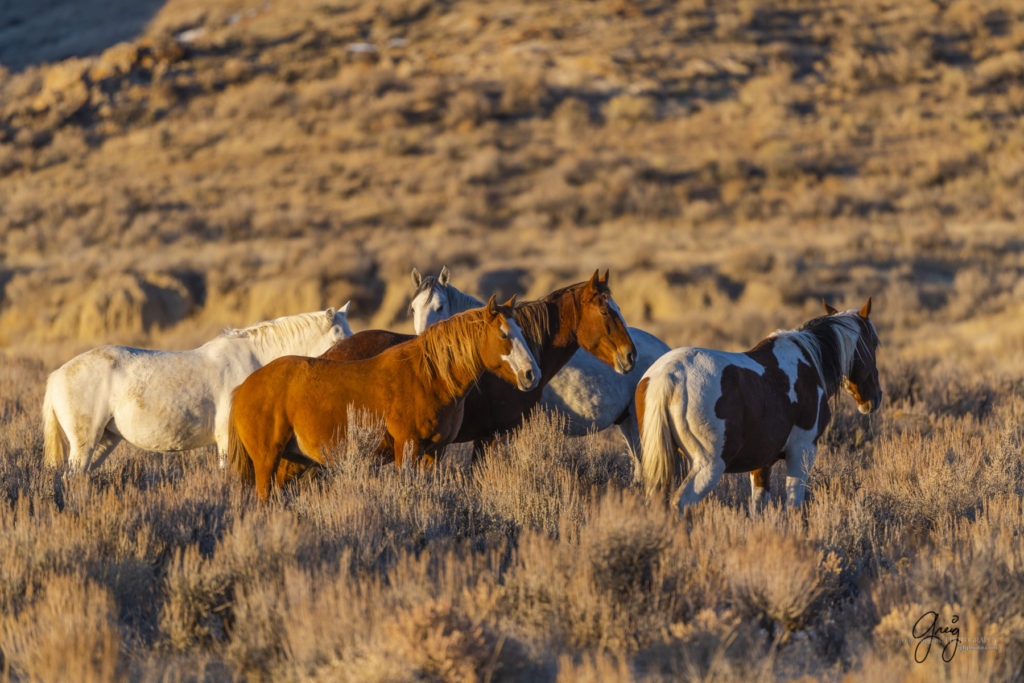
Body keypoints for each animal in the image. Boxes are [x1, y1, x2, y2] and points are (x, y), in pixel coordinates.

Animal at [228, 296, 540, 499]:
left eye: (521, 331)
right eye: (504, 335)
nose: (531, 374)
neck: (428, 377)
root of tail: (243, 386)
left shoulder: (434, 452)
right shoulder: (407, 447)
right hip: (267, 461)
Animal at [630, 299, 880, 511]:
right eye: (875, 343)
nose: (875, 398)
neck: (809, 363)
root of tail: (669, 375)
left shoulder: (761, 463)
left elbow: (758, 507)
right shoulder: (802, 451)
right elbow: (794, 506)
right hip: (708, 466)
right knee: (679, 504)